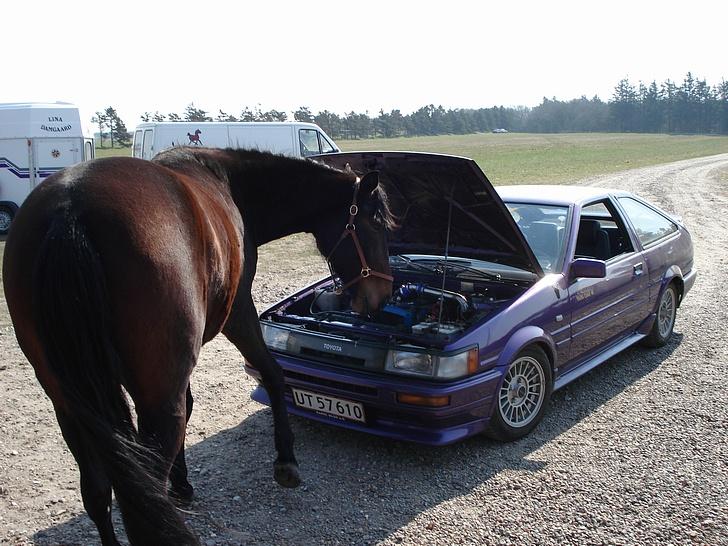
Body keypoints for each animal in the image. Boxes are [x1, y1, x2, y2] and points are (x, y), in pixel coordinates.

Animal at [2, 147, 396, 540]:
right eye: (376, 222)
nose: (384, 293)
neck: (230, 183)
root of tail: (70, 209)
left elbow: (191, 404)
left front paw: (183, 482)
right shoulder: (238, 314)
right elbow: (272, 374)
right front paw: (286, 460)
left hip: (72, 405)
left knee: (98, 495)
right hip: (157, 403)